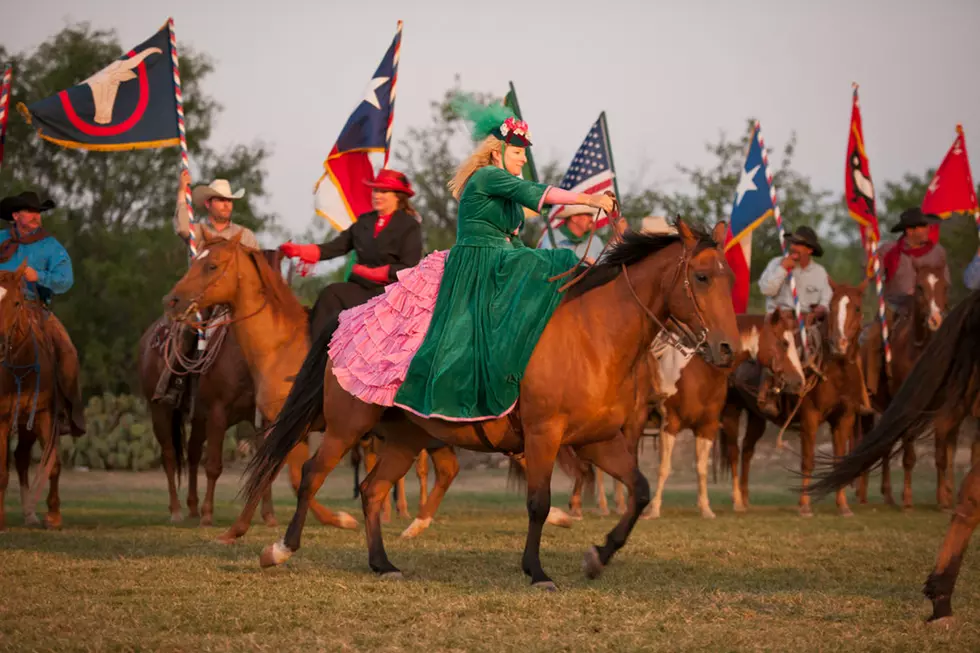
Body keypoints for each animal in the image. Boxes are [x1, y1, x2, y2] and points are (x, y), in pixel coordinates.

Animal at [167, 219, 736, 584]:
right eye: (701, 276)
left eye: (728, 277)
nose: (728, 349)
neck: (593, 334)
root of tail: (340, 327)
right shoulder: (546, 435)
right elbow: (537, 502)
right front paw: (537, 571)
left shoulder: (597, 440)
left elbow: (637, 490)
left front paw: (598, 556)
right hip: (346, 427)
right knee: (309, 475)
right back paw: (279, 549)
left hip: (403, 437)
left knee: (371, 489)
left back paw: (383, 563)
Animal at [720, 278, 864, 516]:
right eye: (832, 307)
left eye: (858, 308)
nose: (839, 344)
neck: (835, 371)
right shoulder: (809, 418)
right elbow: (807, 461)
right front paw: (804, 506)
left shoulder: (844, 418)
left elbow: (839, 461)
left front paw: (843, 505)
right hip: (732, 410)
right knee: (734, 452)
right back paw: (737, 500)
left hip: (756, 416)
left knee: (748, 450)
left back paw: (746, 498)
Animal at [856, 262, 948, 506]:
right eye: (920, 287)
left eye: (945, 286)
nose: (936, 320)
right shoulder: (907, 407)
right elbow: (908, 454)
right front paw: (907, 498)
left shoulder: (940, 406)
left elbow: (941, 453)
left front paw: (943, 499)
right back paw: (862, 493)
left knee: (884, 446)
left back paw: (887, 494)